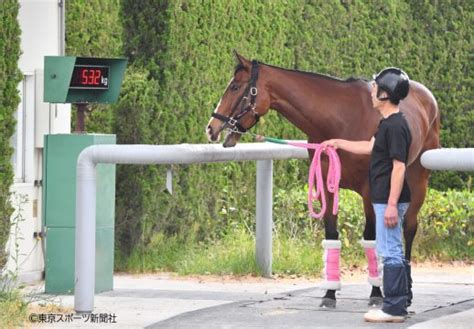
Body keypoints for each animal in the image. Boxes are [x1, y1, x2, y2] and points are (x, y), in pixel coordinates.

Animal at [207, 51, 440, 308]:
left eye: (235, 87)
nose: (211, 128)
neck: (341, 118)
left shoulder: (370, 190)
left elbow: (371, 237)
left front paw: (376, 292)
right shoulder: (327, 186)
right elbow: (331, 235)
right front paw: (329, 293)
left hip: (417, 180)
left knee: (409, 227)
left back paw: (405, 290)